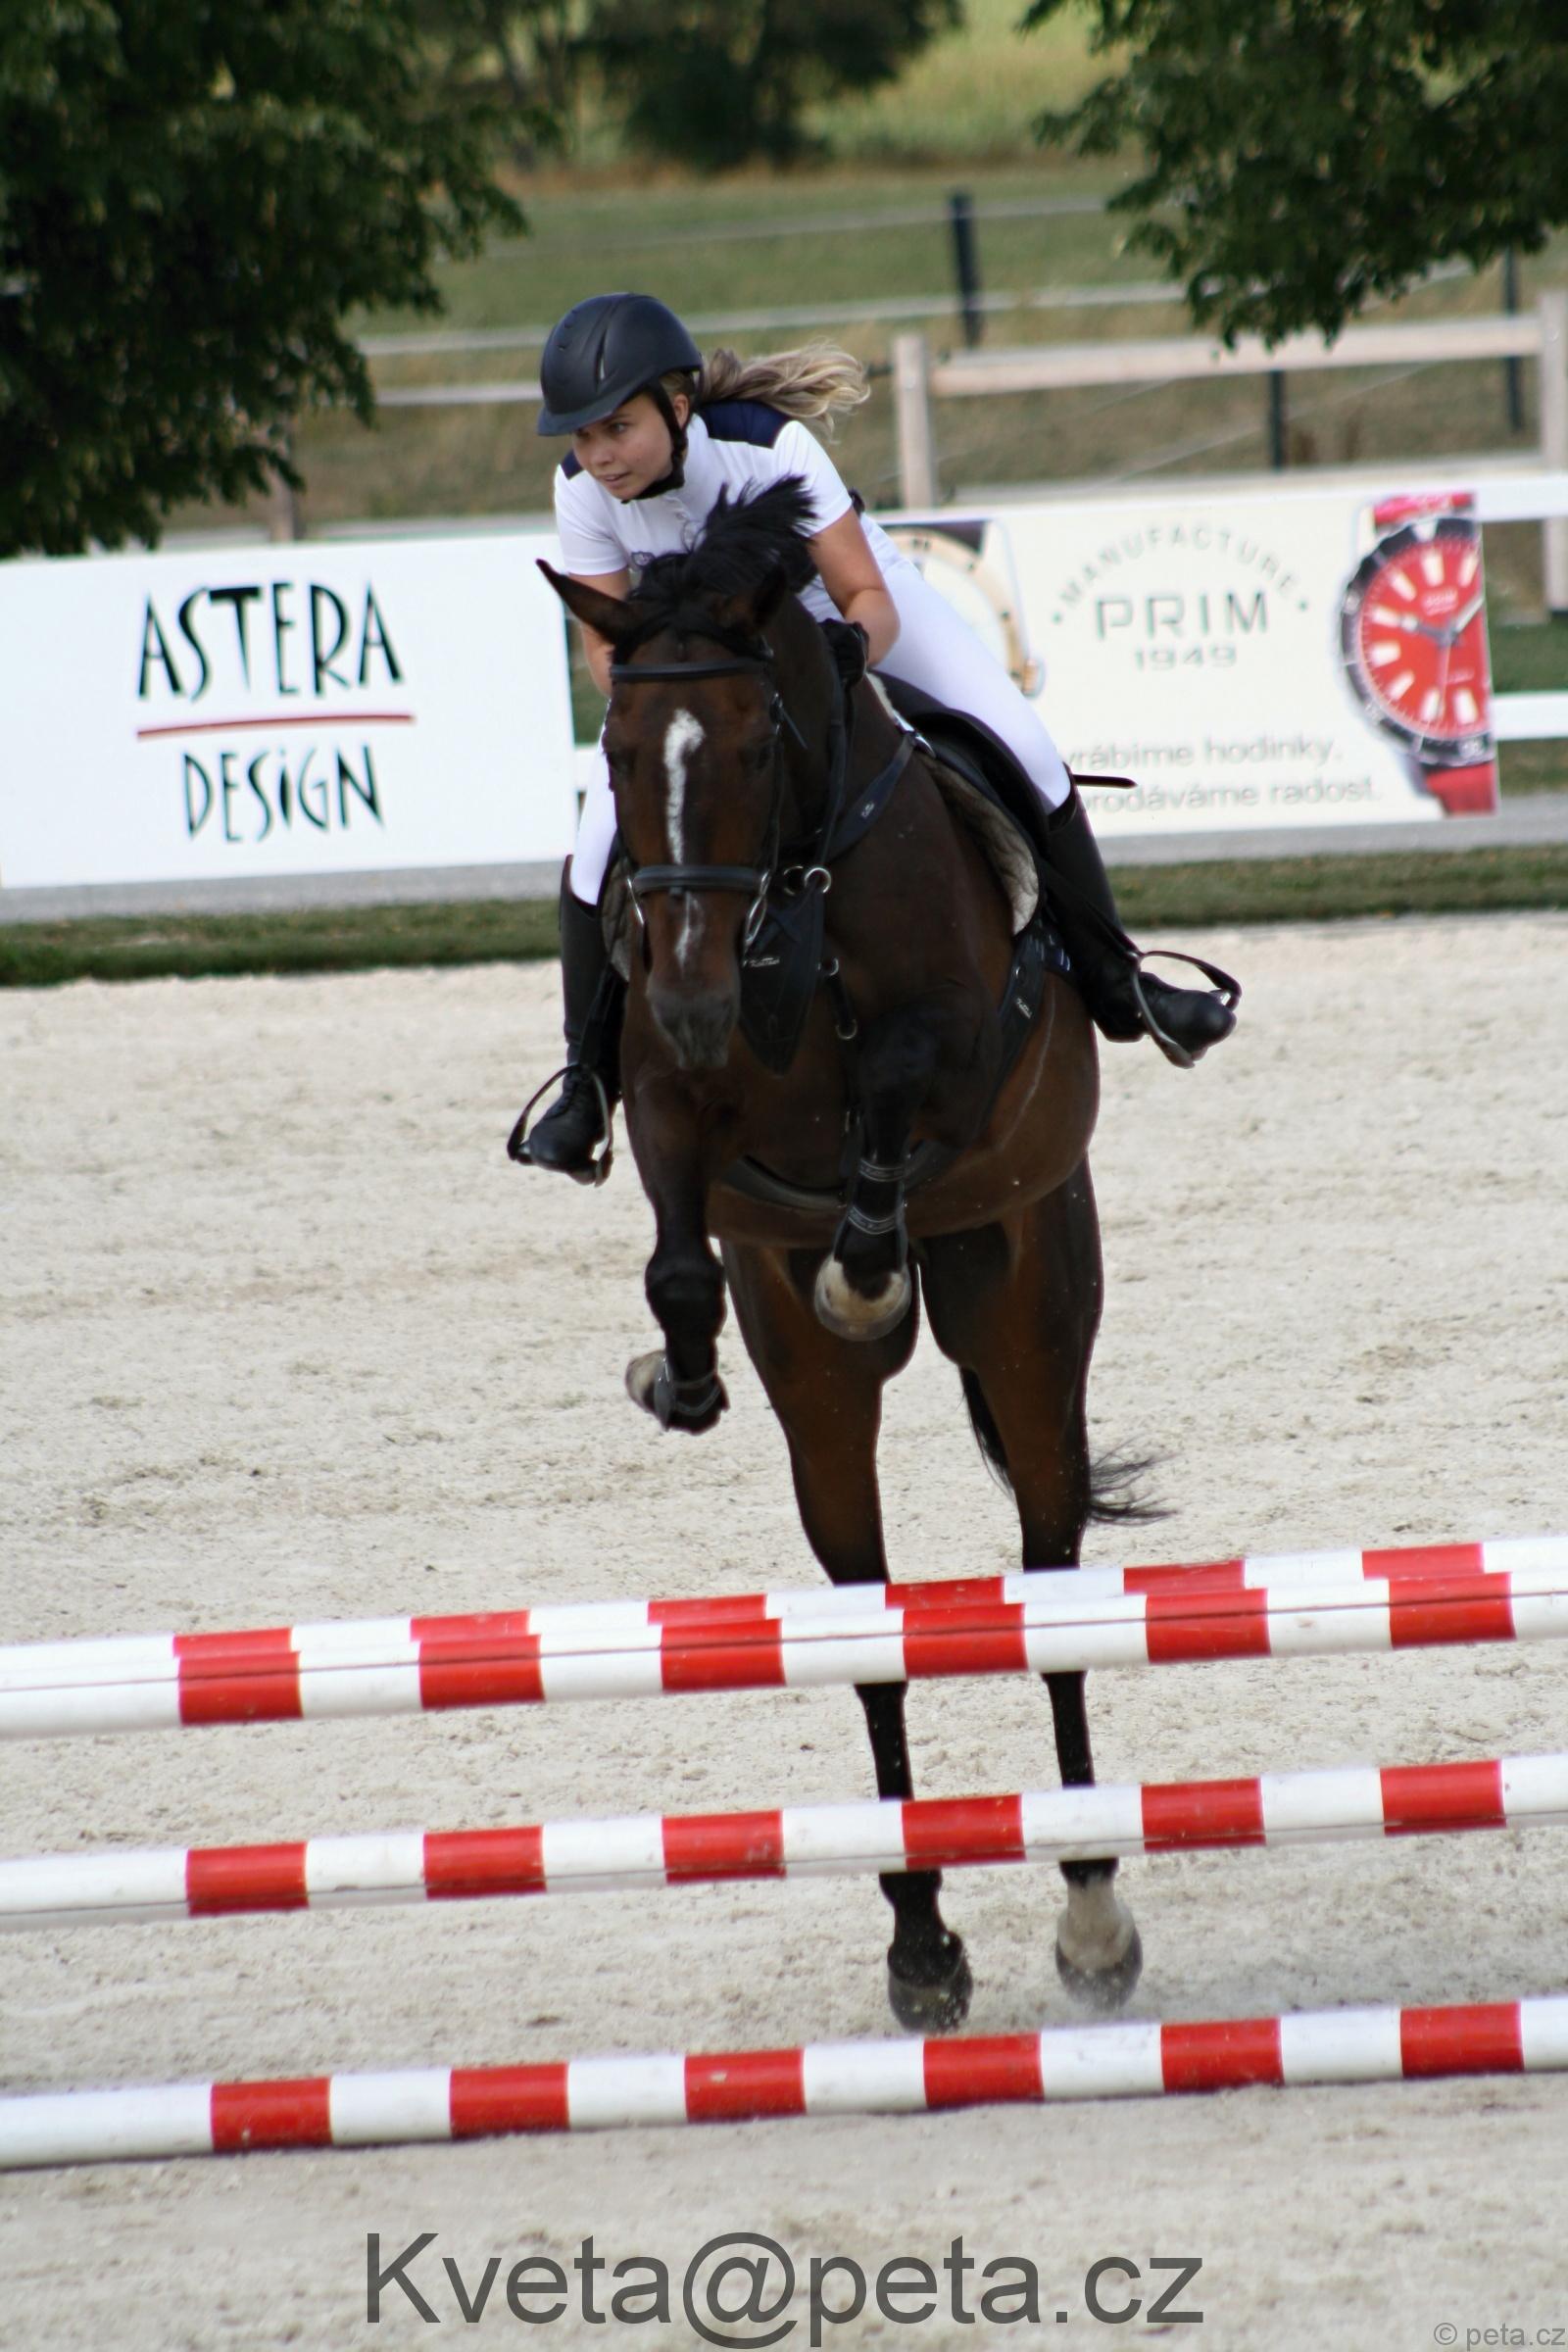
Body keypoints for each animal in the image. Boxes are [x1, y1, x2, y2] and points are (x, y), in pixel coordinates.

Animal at [534, 479, 1145, 2031]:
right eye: (614, 751)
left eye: (758, 745)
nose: (698, 994)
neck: (784, 896)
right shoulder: (671, 1099)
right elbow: (680, 1254)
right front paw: (677, 1376)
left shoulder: (952, 1045)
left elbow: (894, 1095)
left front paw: (865, 1267)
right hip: (825, 1429)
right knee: (870, 1632)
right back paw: (920, 1941)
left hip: (1028, 1313)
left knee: (1049, 1582)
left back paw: (1091, 1908)